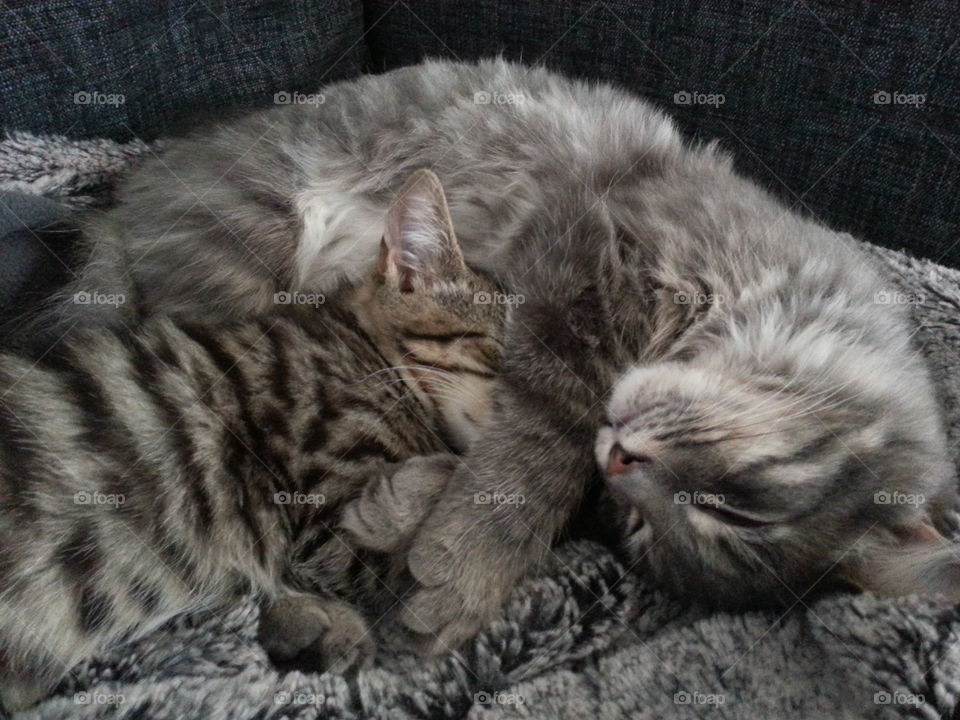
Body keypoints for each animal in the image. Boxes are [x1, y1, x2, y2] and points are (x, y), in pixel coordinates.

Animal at [54, 59, 960, 648]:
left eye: (638, 531)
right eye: (737, 504)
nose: (623, 462)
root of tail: (129, 201)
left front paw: (426, 529)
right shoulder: (583, 263)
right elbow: (541, 439)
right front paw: (466, 566)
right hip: (245, 259)